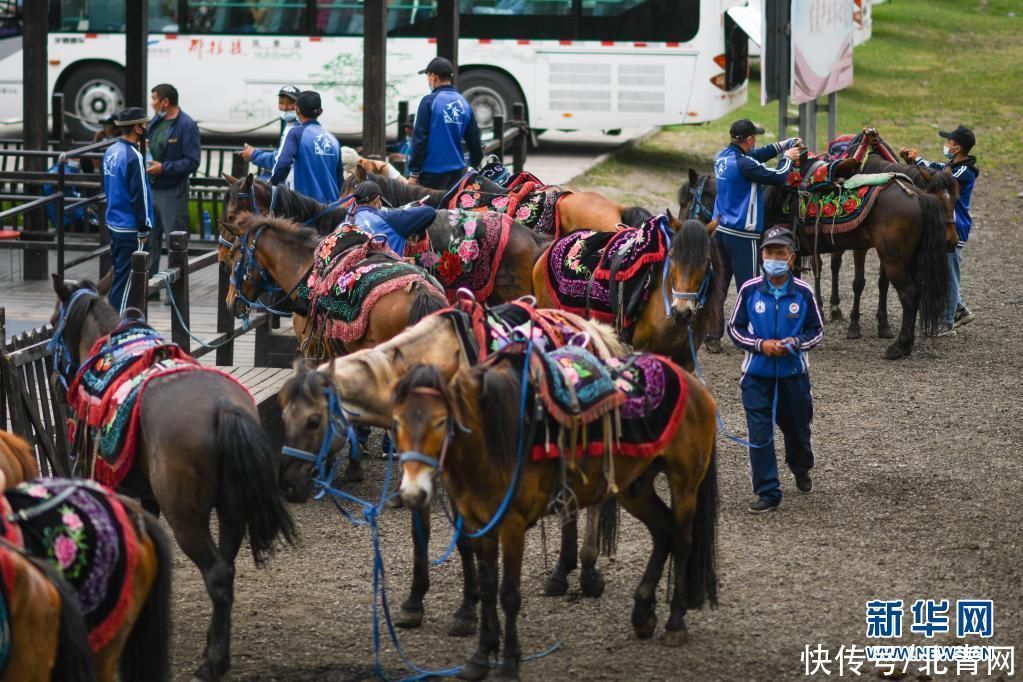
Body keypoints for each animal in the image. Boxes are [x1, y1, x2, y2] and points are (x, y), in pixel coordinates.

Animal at [49, 274, 296, 678]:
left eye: (55, 320)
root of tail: (224, 410)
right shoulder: (146, 496)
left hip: (186, 518)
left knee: (216, 574)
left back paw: (213, 662)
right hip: (230, 511)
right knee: (226, 568)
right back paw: (214, 649)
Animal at [282, 300, 630, 638]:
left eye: (314, 420)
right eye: (284, 415)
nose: (289, 486)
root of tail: (593, 330)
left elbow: (466, 540)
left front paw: (466, 611)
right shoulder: (417, 473)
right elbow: (419, 535)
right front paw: (414, 603)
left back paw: (588, 572)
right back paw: (560, 573)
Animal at [390, 349, 720, 678]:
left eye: (440, 421)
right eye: (396, 422)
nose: (412, 491)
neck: (492, 440)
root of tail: (694, 383)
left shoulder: (512, 526)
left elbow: (508, 594)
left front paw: (508, 662)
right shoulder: (479, 524)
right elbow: (488, 589)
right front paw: (481, 656)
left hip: (685, 482)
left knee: (682, 542)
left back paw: (675, 623)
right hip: (635, 487)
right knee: (662, 532)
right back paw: (642, 612)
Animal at [531, 213, 724, 374]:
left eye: (707, 261)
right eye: (672, 256)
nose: (682, 312)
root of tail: (549, 248)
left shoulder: (686, 361)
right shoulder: (644, 349)